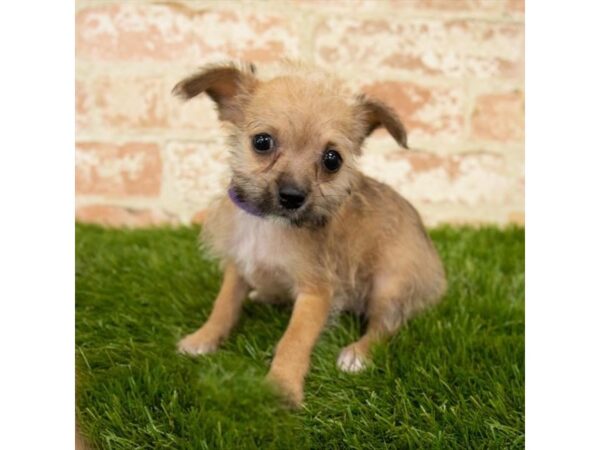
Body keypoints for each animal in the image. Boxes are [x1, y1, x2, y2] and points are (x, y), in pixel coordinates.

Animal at [173, 61, 446, 406]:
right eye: (262, 142)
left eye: (332, 160)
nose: (292, 195)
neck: (269, 224)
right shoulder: (238, 268)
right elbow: (223, 307)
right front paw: (203, 337)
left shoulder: (315, 292)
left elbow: (294, 340)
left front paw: (282, 387)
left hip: (390, 285)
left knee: (385, 326)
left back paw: (357, 353)